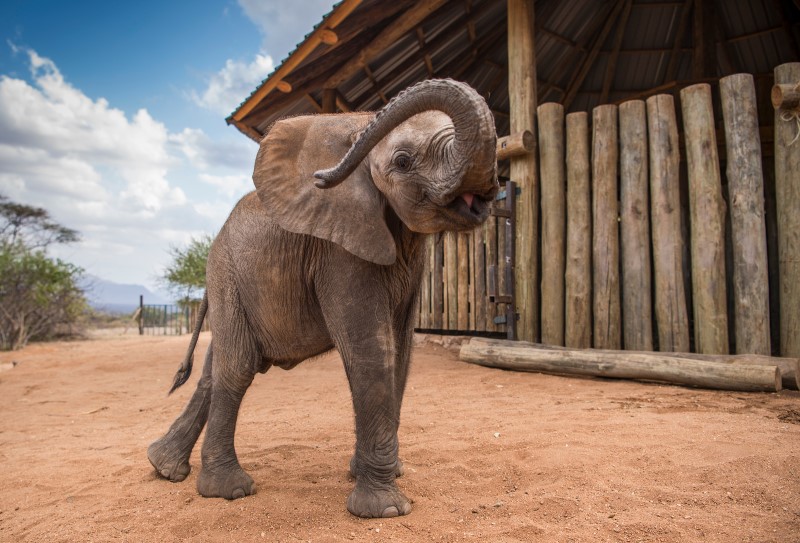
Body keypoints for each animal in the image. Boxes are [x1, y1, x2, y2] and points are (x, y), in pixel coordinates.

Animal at [147, 77, 496, 520]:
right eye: (403, 162)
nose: (320, 177)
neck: (358, 133)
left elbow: (401, 351)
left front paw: (377, 475)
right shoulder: (337, 252)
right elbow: (372, 349)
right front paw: (384, 510)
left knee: (216, 366)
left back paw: (163, 468)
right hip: (227, 273)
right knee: (238, 364)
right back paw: (228, 490)